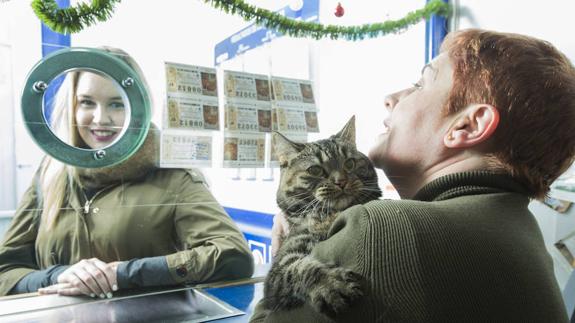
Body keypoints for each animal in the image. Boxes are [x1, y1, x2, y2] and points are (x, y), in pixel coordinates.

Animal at [264, 117, 382, 318]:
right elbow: (298, 268)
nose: (341, 181)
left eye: (349, 163)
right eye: (315, 170)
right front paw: (330, 284)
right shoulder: (277, 271)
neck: (329, 214)